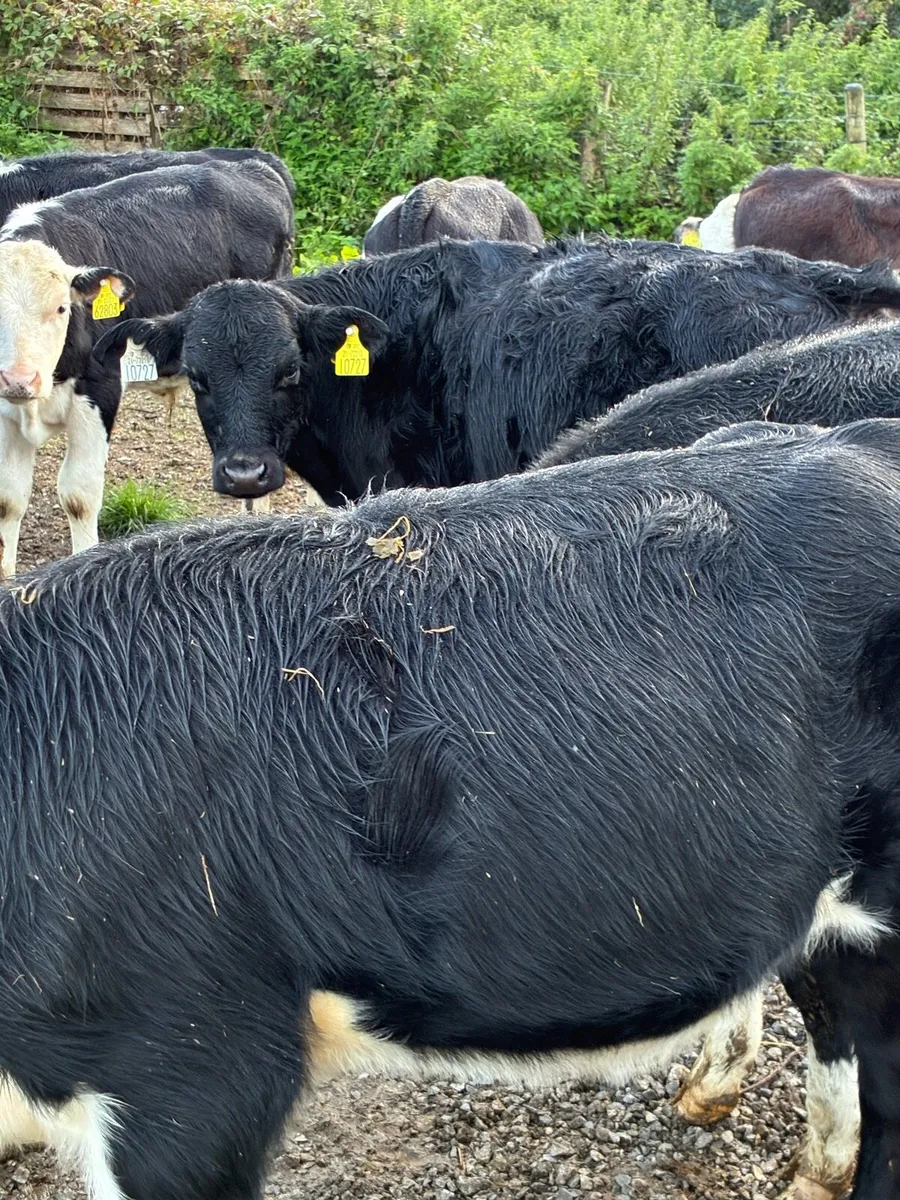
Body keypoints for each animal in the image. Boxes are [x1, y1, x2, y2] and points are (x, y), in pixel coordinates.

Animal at [0, 158, 295, 577]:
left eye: (61, 307)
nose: (20, 380)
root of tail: (254, 164)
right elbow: (9, 498)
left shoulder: (100, 388)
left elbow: (79, 495)